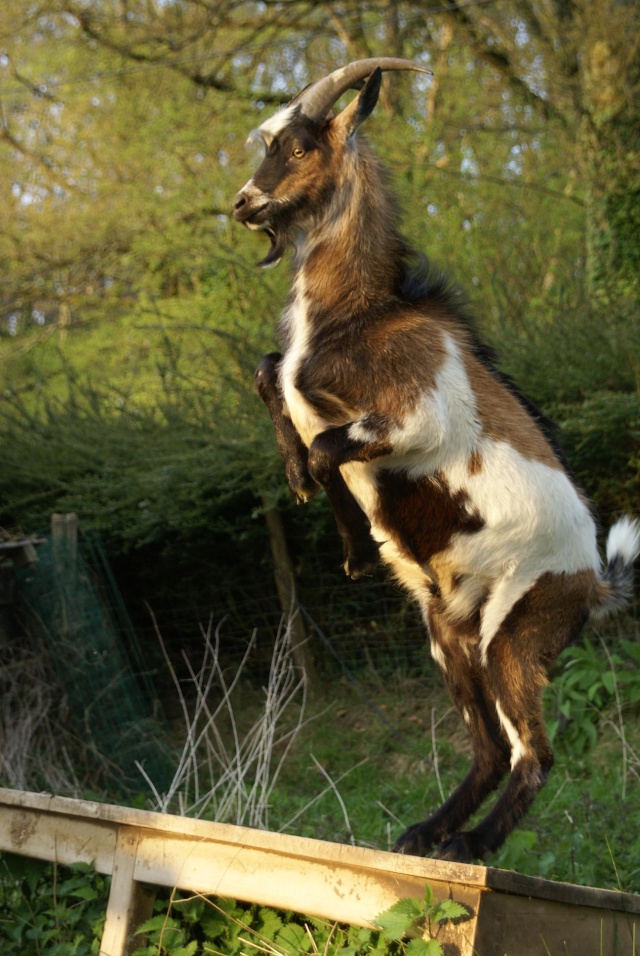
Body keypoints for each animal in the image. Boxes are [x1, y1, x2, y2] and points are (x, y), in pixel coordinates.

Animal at [232, 59, 636, 868]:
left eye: (298, 146)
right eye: (268, 142)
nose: (243, 203)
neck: (360, 312)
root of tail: (596, 581)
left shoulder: (419, 417)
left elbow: (328, 445)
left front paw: (348, 533)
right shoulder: (301, 377)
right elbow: (272, 376)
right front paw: (326, 511)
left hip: (515, 632)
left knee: (533, 752)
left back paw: (468, 848)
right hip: (449, 633)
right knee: (489, 748)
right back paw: (425, 833)